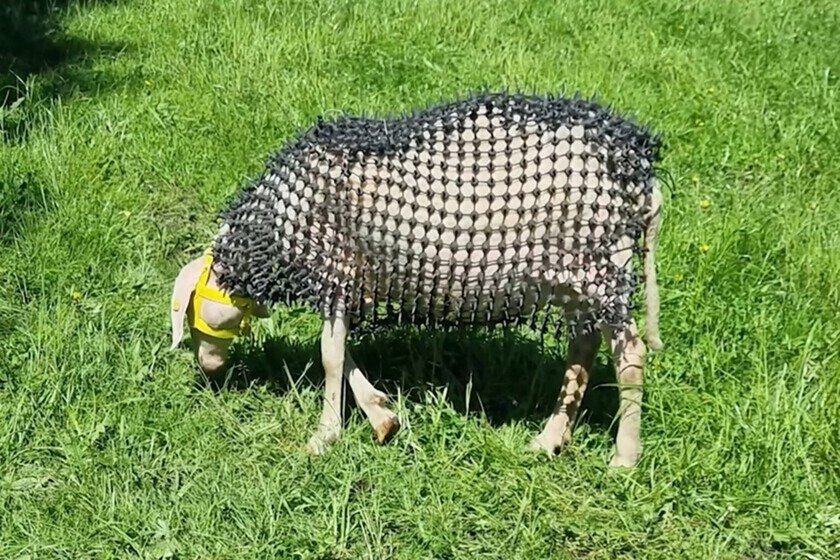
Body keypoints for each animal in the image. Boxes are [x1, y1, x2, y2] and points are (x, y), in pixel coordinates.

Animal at [170, 92, 664, 467]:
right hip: (576, 278)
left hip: (598, 267)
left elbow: (330, 357)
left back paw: (624, 458)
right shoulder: (350, 283)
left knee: (629, 354)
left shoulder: (335, 273)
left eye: (190, 312)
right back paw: (550, 439)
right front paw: (382, 417)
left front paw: (324, 437)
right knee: (583, 346)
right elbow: (342, 353)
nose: (208, 370)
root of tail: (640, 177)